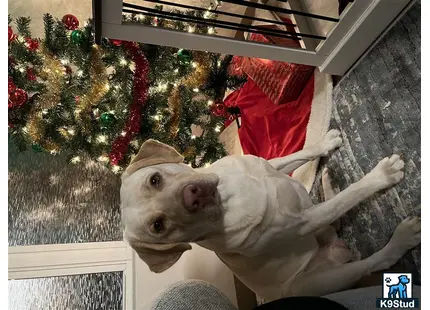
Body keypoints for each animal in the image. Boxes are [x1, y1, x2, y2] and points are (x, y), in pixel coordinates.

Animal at [120, 130, 420, 300]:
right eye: (158, 225)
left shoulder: (271, 165)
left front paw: (325, 142)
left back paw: (327, 180)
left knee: (334, 218)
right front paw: (381, 176)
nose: (192, 196)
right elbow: (350, 196)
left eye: (155, 179)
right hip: (321, 280)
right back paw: (402, 238)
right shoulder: (304, 222)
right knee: (374, 261)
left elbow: (300, 154)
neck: (229, 198)